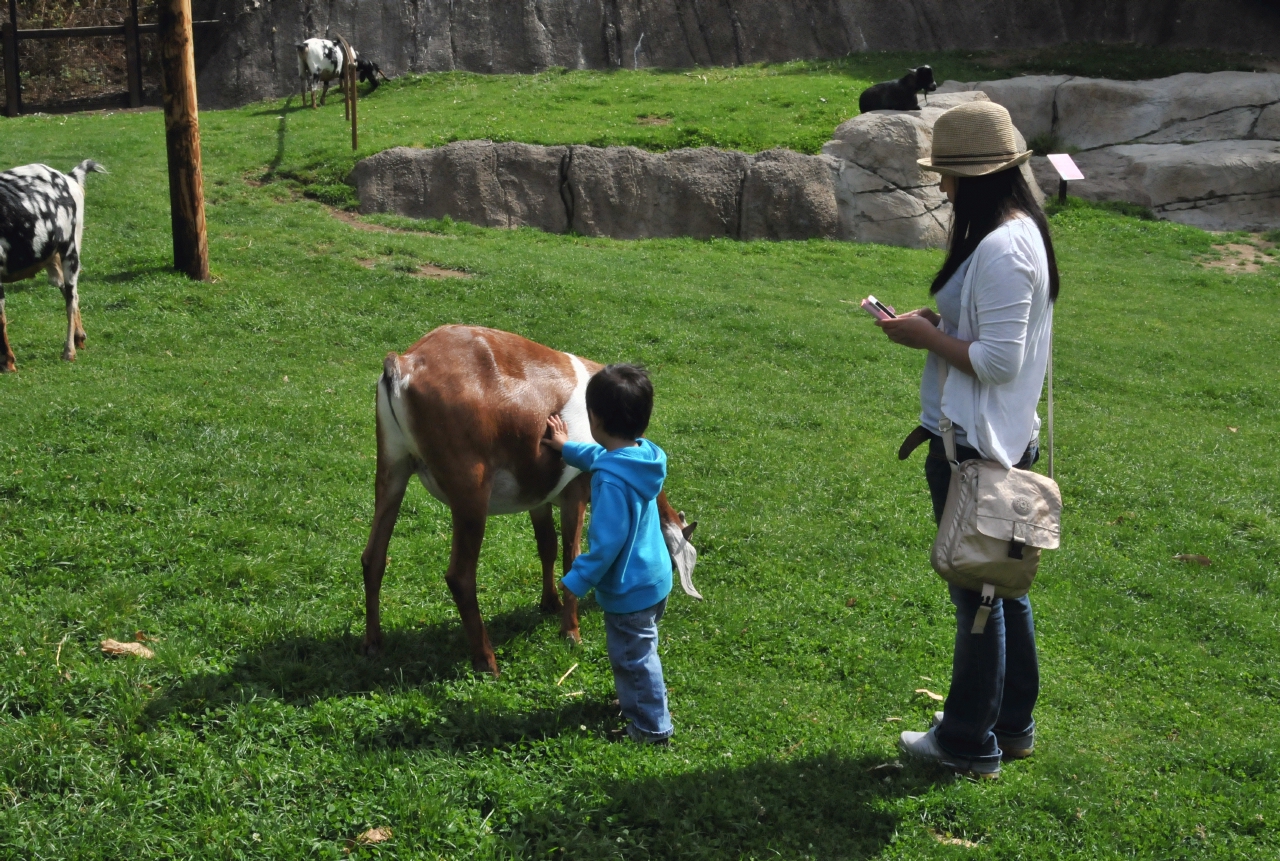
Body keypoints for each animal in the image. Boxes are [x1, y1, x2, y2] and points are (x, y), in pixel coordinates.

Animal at [0, 159, 106, 371]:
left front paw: (8, 363)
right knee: (67, 291)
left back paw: (69, 352)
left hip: (71, 250)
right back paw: (79, 337)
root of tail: (69, 178)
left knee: (71, 298)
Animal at [360, 326, 701, 675]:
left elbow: (547, 545)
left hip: (392, 466)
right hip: (471, 491)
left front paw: (549, 603)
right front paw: (571, 632)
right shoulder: (576, 493)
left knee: (373, 557)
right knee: (460, 576)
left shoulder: (538, 497)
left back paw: (373, 643)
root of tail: (403, 364)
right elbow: (571, 555)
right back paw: (487, 660)